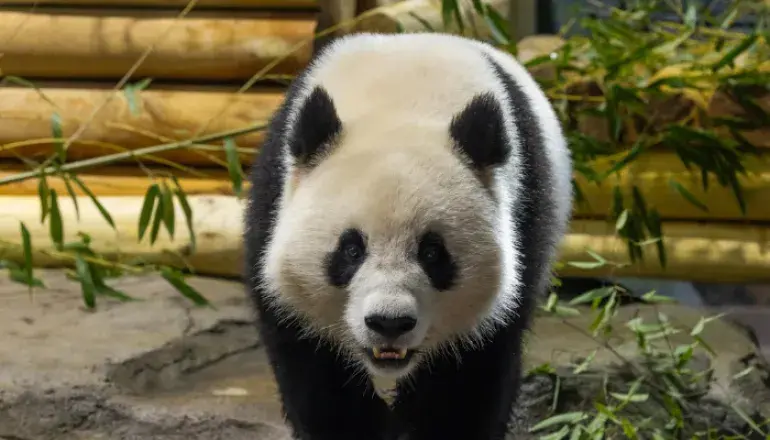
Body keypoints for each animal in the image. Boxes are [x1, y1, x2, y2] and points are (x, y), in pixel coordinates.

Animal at [243, 31, 572, 440]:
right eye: (351, 250)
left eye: (432, 253)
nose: (389, 322)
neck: (399, 103)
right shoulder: (272, 210)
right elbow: (319, 378)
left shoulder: (521, 228)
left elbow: (465, 383)